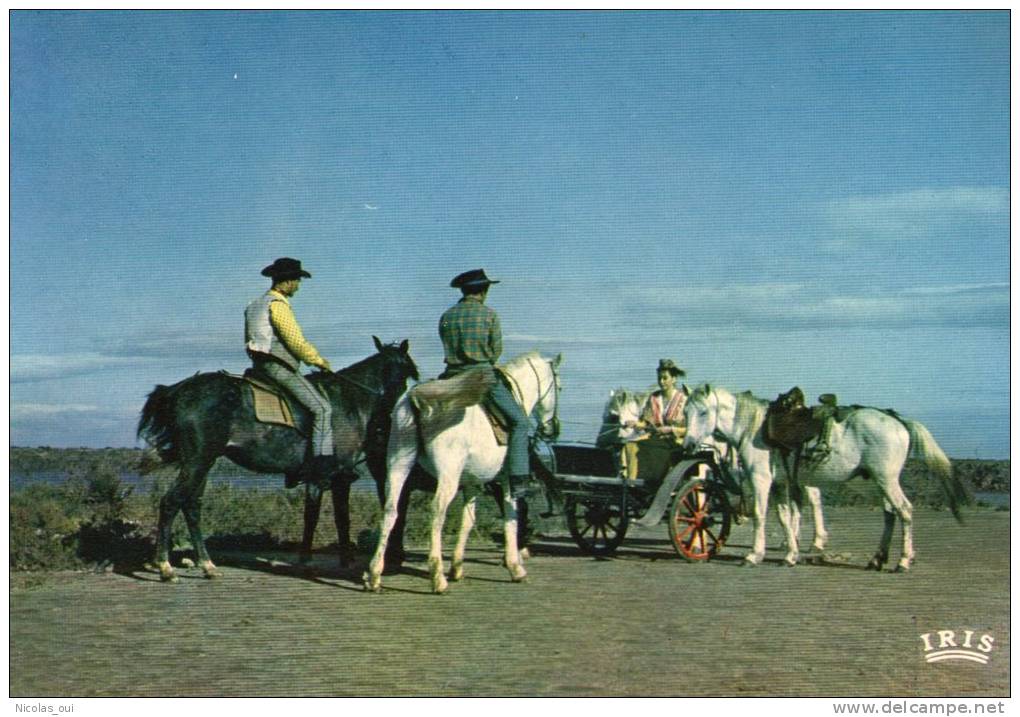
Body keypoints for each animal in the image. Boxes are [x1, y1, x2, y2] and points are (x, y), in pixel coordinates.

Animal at [139, 338, 418, 583]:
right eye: (403, 371)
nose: (393, 410)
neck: (349, 402)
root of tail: (177, 390)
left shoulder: (319, 478)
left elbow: (312, 516)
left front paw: (308, 559)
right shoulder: (338, 476)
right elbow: (339, 518)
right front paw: (339, 560)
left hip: (204, 462)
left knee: (191, 506)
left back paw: (207, 565)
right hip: (198, 461)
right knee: (171, 503)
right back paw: (165, 567)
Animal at [367, 352, 563, 595]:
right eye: (559, 387)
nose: (553, 428)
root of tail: (418, 399)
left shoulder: (472, 482)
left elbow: (467, 520)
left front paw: (457, 567)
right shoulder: (506, 480)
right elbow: (511, 515)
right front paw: (515, 567)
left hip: (398, 466)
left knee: (390, 510)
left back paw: (374, 574)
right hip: (447, 476)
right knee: (437, 511)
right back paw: (437, 578)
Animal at [595, 387, 828, 542]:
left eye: (613, 416)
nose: (599, 444)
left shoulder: (701, 468)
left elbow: (699, 497)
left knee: (814, 499)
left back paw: (816, 542)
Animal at [681, 383, 966, 571]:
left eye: (703, 412)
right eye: (685, 412)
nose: (689, 445)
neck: (753, 429)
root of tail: (897, 420)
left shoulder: (761, 480)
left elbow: (761, 515)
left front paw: (754, 555)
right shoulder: (781, 483)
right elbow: (785, 517)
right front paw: (791, 555)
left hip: (886, 480)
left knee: (904, 511)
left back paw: (904, 560)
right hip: (879, 482)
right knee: (890, 514)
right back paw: (877, 558)